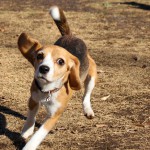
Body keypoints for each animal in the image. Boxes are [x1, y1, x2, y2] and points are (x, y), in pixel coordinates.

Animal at [17, 5, 97, 150]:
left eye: (60, 61)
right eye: (39, 56)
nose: (44, 68)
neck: (48, 90)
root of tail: (71, 36)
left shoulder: (54, 115)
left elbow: (39, 135)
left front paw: (29, 145)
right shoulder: (33, 98)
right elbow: (31, 116)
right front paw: (27, 130)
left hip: (92, 75)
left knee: (86, 95)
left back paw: (88, 109)